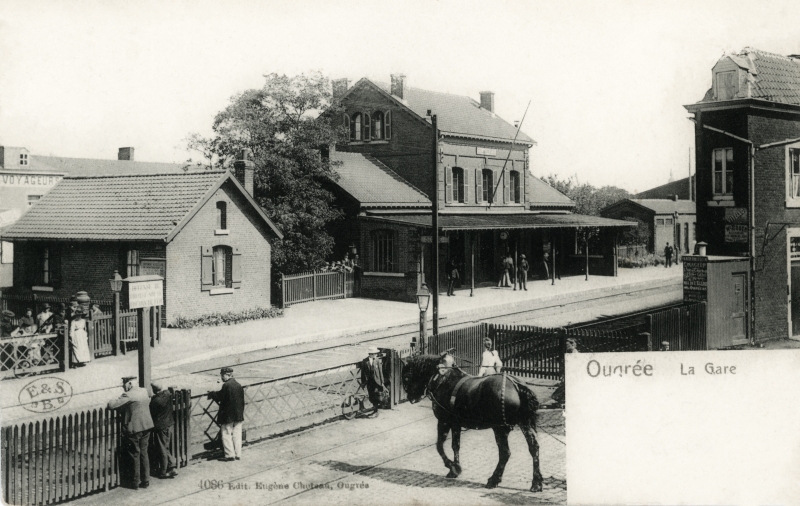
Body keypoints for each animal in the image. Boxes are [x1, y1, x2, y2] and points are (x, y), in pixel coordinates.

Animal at [400, 354, 544, 492]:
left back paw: (494, 479)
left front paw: (452, 467)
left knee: (505, 453)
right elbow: (455, 446)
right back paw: (536, 482)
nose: (411, 398)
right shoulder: (456, 424)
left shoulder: (444, 421)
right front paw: (456, 467)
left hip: (499, 428)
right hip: (525, 424)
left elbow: (439, 446)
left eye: (406, 377)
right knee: (534, 448)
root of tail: (517, 386)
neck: (443, 380)